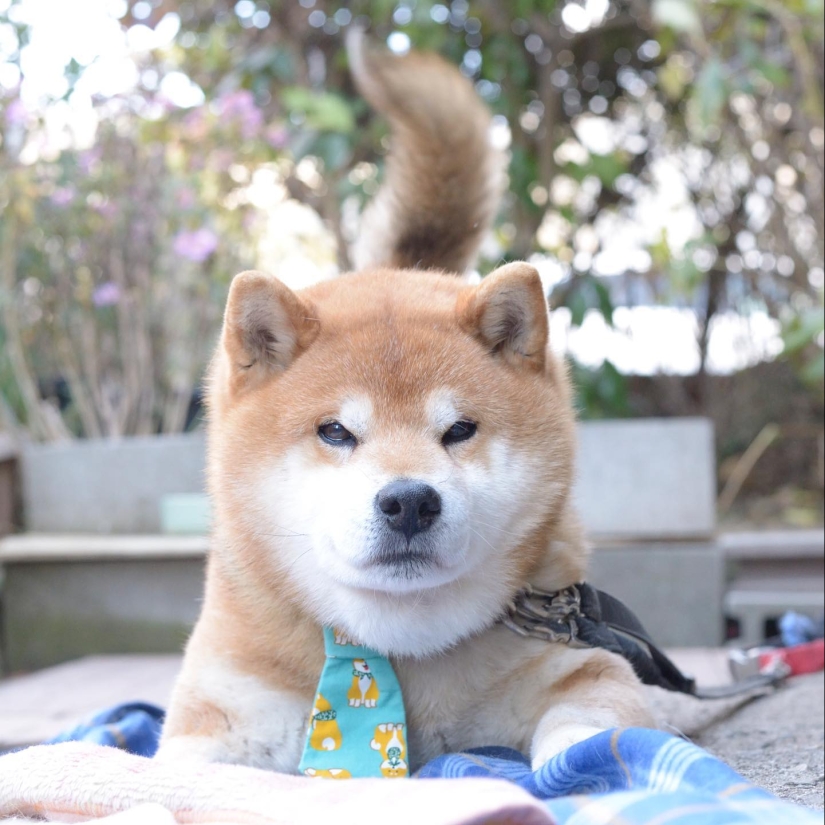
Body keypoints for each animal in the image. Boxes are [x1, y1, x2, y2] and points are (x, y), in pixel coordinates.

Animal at [158, 32, 652, 772]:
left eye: (460, 429)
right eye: (335, 431)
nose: (409, 501)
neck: (394, 652)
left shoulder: (580, 665)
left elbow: (590, 730)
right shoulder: (222, 707)